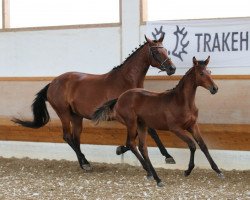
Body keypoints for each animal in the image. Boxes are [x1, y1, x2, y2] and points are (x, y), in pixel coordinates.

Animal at [11, 33, 176, 170]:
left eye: (166, 51)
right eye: (156, 52)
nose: (172, 68)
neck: (127, 81)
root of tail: (52, 83)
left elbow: (151, 132)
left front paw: (168, 157)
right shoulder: (123, 117)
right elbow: (137, 136)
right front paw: (120, 150)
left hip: (76, 116)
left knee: (76, 138)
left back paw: (83, 163)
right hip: (63, 113)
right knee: (67, 136)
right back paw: (85, 163)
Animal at [92, 55, 225, 186]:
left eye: (210, 71)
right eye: (201, 73)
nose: (215, 88)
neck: (182, 102)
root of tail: (119, 98)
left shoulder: (192, 125)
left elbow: (203, 145)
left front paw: (218, 171)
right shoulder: (175, 128)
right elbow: (192, 145)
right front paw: (187, 170)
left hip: (141, 125)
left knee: (142, 147)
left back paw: (155, 176)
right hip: (131, 123)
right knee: (131, 143)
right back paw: (155, 176)